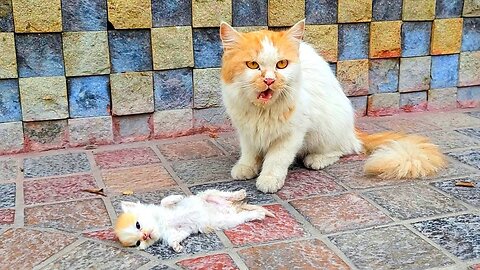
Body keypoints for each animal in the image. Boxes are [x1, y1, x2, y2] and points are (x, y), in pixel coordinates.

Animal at [113, 190, 276, 251]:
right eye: (138, 242)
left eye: (138, 225)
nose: (145, 235)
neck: (161, 224)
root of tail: (232, 208)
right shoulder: (180, 231)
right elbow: (174, 239)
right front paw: (176, 247)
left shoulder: (163, 209)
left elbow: (165, 201)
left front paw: (176, 198)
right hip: (228, 220)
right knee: (244, 215)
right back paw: (257, 213)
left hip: (209, 195)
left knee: (225, 194)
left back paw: (239, 194)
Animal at [219, 19, 444, 194]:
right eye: (253, 65)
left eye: (281, 64)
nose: (269, 80)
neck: (262, 111)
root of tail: (353, 130)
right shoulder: (247, 131)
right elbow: (249, 153)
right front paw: (245, 167)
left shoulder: (292, 134)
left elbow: (276, 159)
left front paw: (269, 179)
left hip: (325, 129)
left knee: (344, 149)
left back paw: (316, 159)